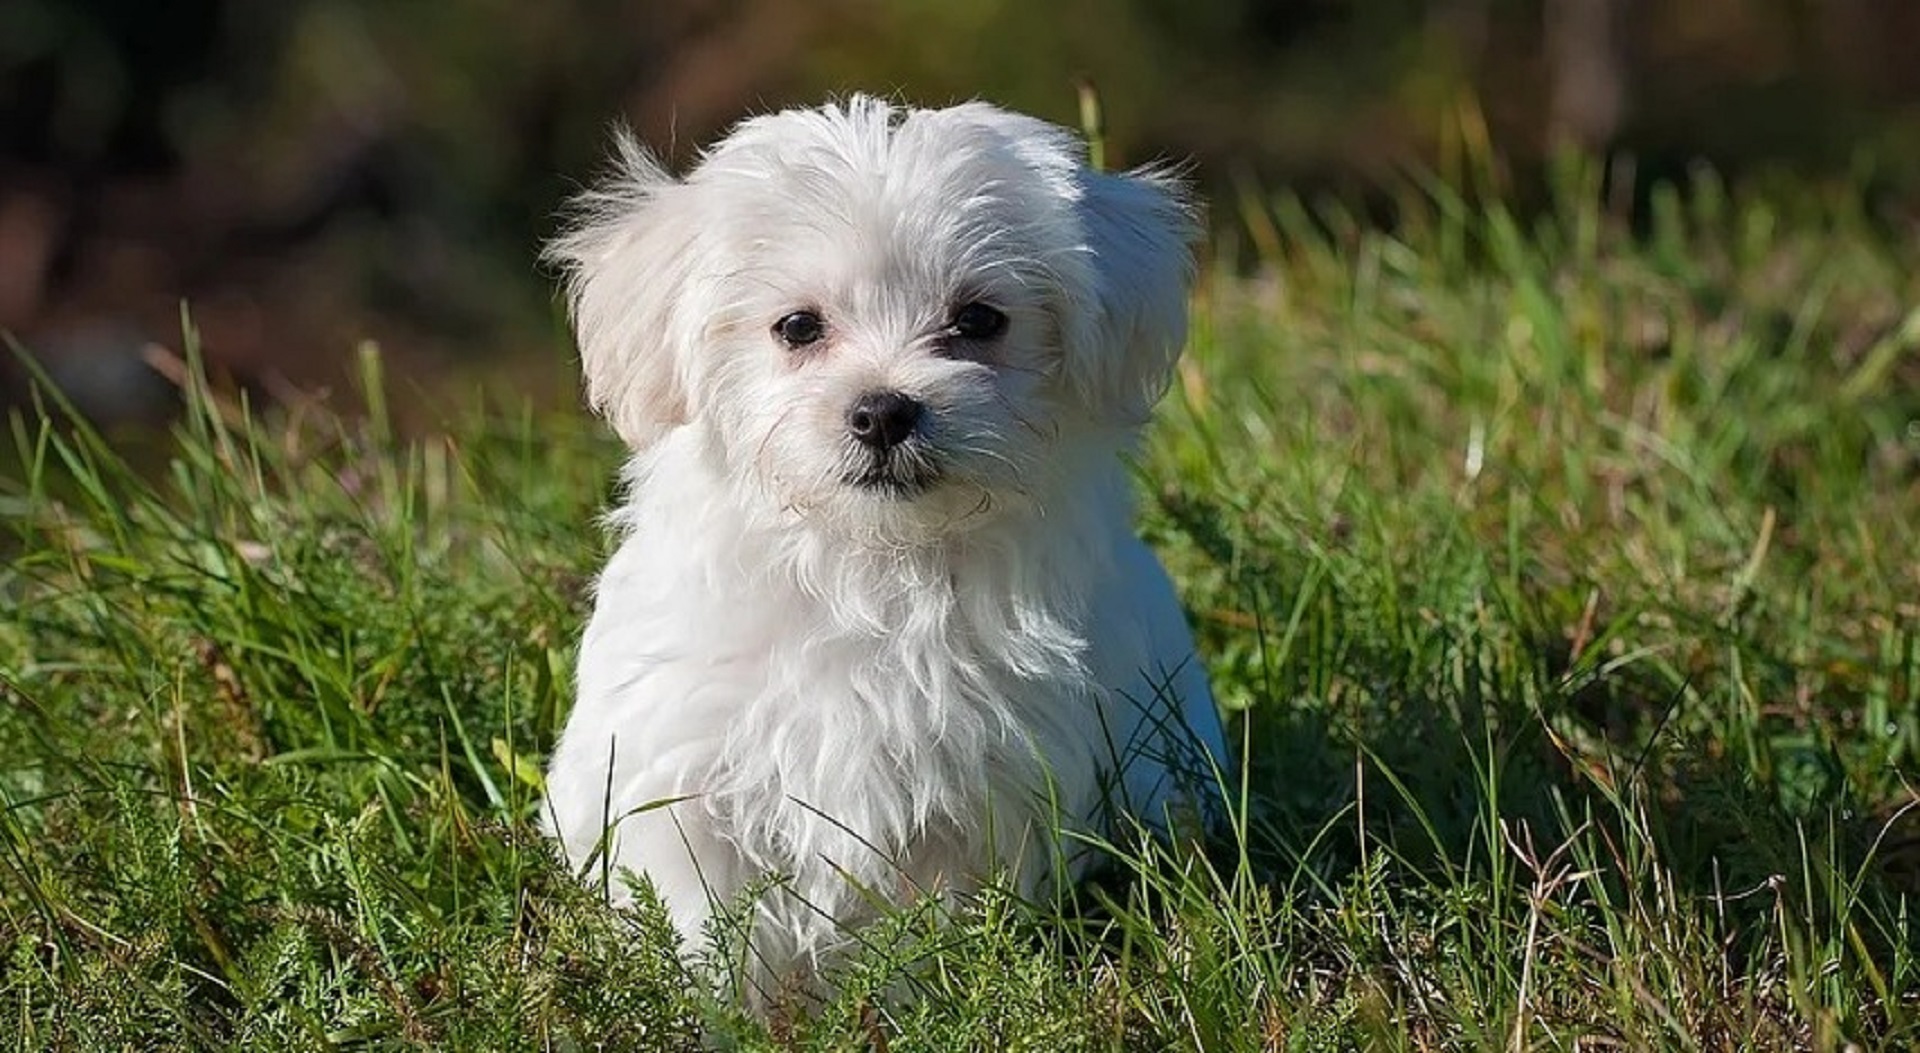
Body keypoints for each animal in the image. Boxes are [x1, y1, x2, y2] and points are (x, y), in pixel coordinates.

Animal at [541, 94, 1228, 991]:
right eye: (797, 327)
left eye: (979, 320)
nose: (882, 410)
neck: (870, 565)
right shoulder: (681, 773)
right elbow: (703, 920)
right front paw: (722, 1003)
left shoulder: (978, 793)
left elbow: (924, 928)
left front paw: (911, 996)